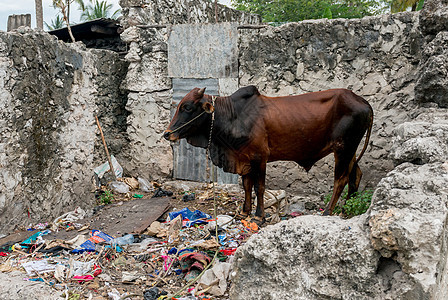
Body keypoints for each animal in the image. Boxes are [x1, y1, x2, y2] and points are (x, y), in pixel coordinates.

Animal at [163, 85, 372, 223]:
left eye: (187, 107)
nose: (167, 133)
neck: (233, 116)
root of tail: (364, 102)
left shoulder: (259, 158)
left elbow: (259, 188)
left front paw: (259, 216)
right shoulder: (244, 159)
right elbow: (247, 186)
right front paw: (245, 212)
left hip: (344, 148)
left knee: (341, 179)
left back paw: (328, 212)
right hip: (350, 150)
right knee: (355, 175)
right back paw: (345, 210)